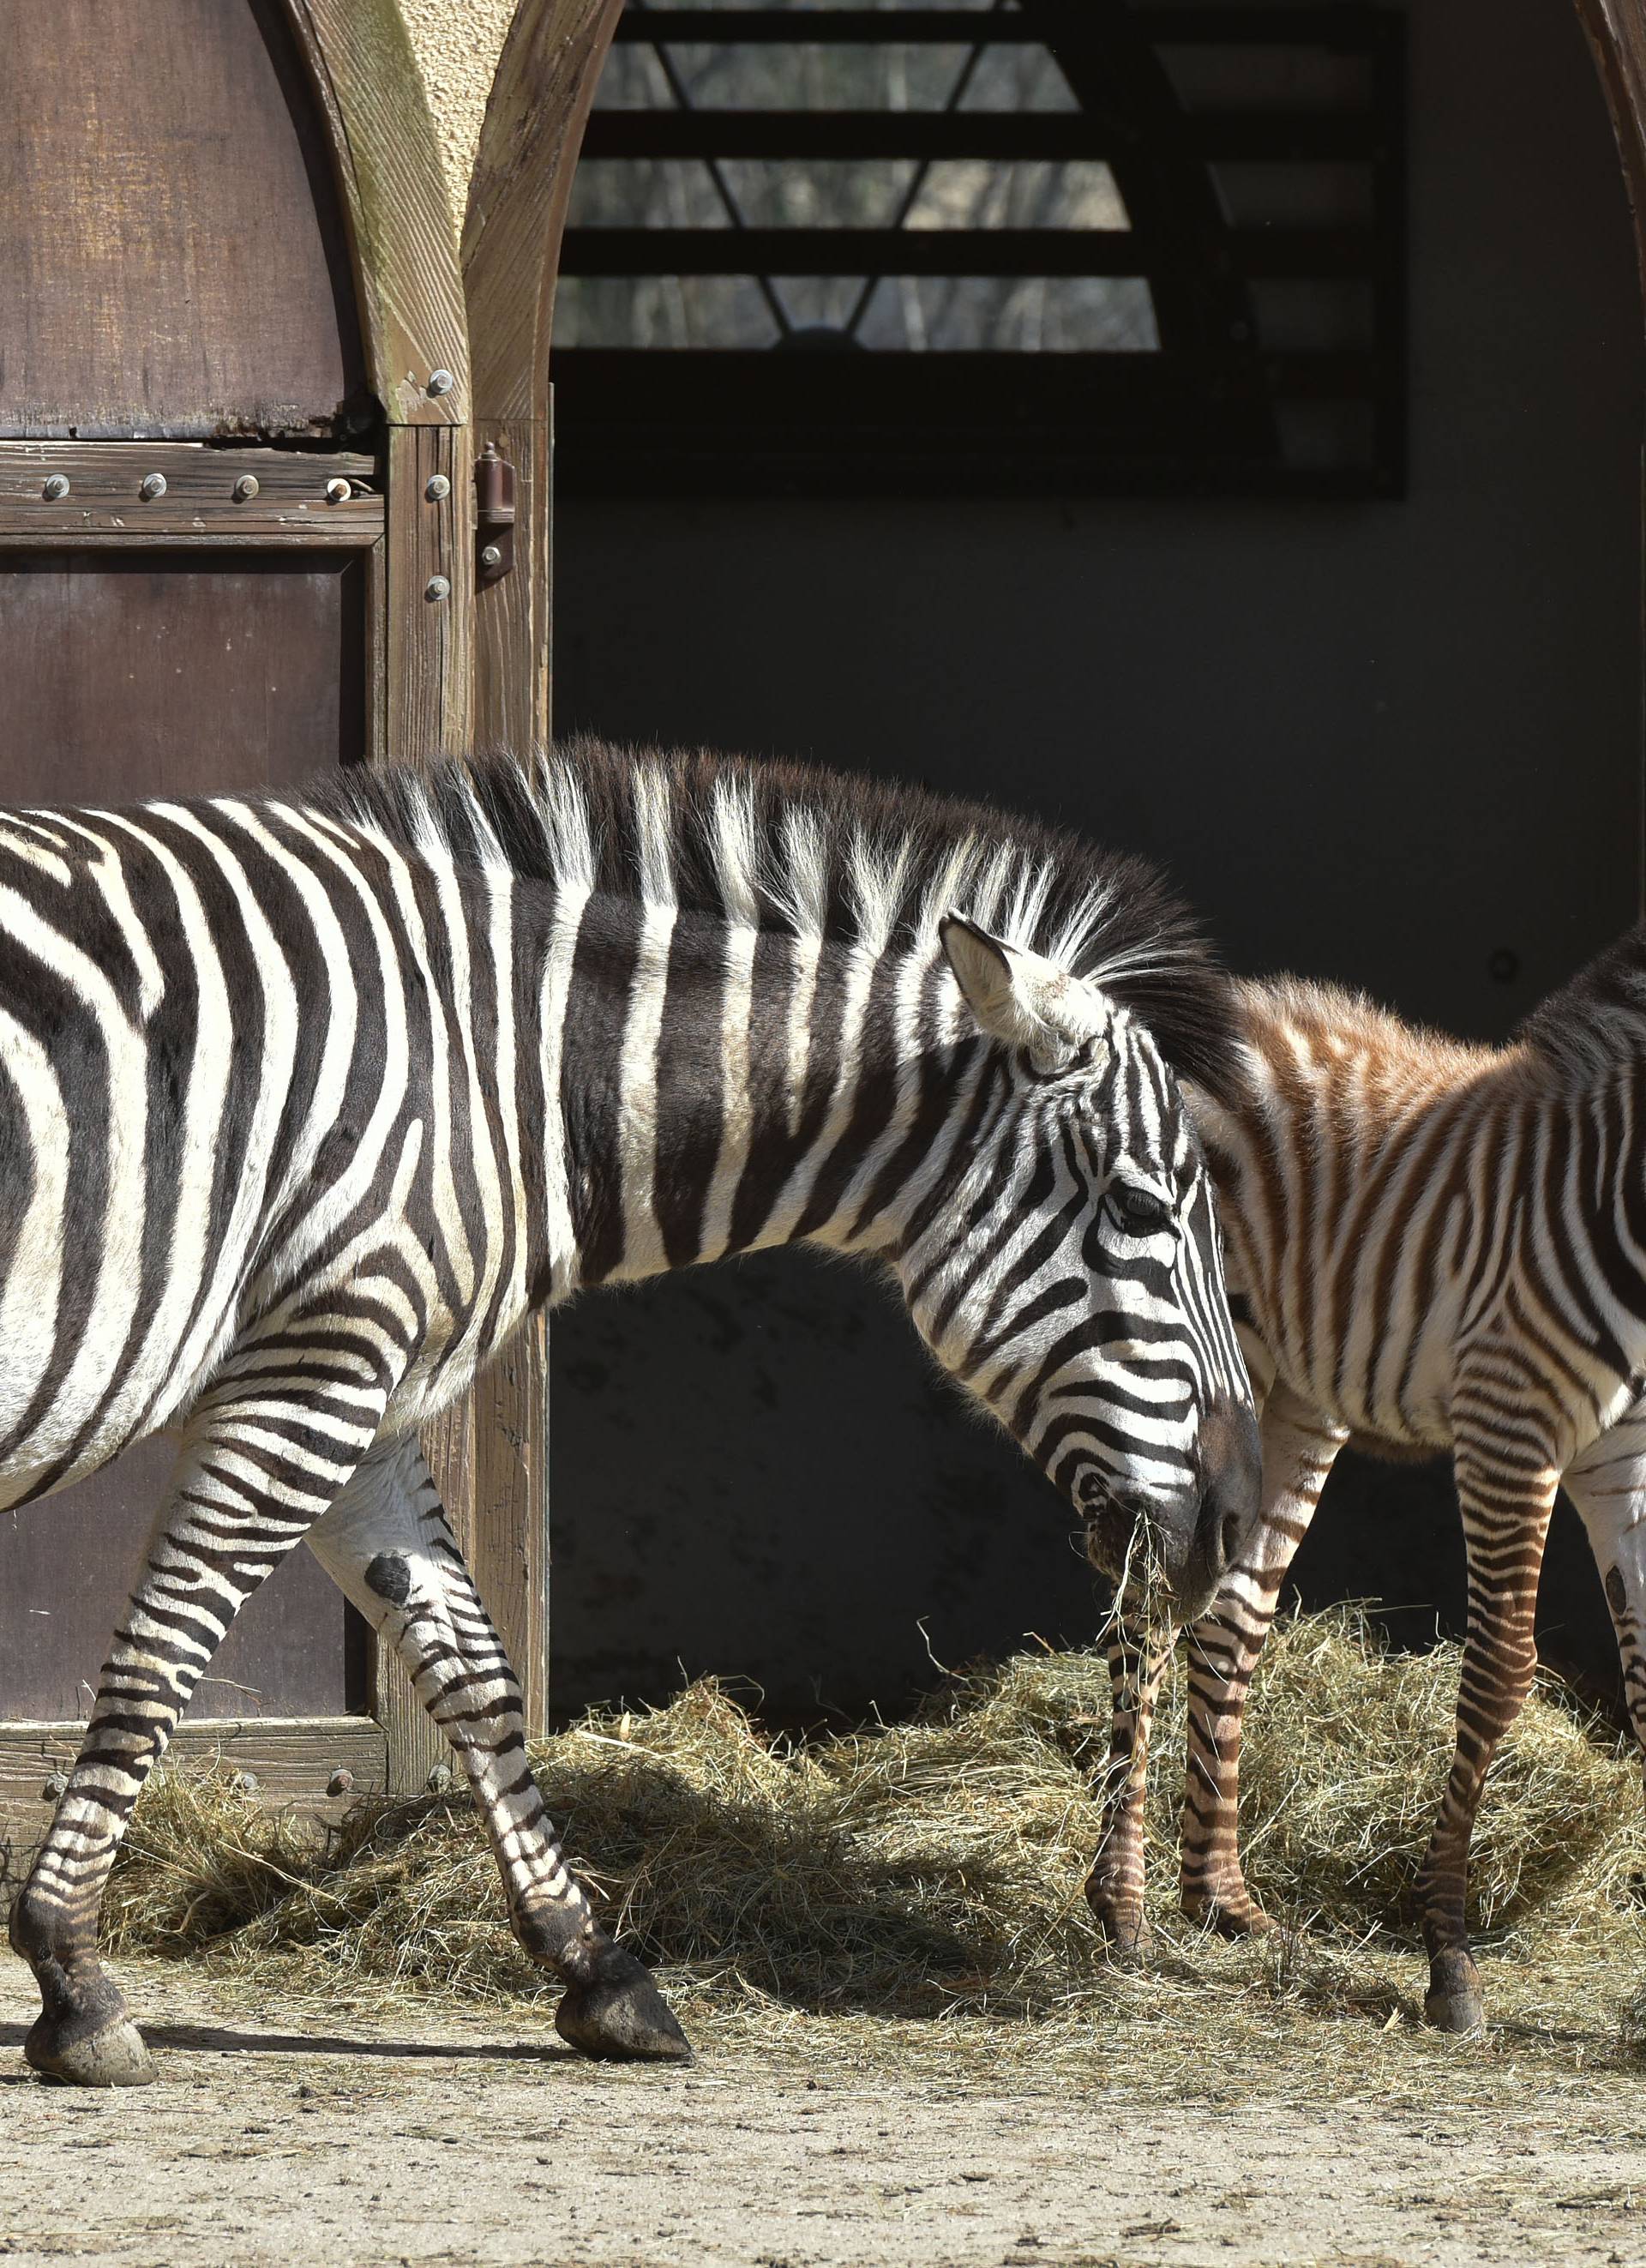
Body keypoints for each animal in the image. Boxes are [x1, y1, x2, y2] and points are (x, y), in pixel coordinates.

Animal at [3, 743, 1260, 2086]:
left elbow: (476, 1670)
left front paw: (595, 1966)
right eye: (1142, 1209)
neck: (504, 1065)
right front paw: (73, 1976)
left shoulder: (371, 1396)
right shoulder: (313, 1363)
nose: (1234, 1526)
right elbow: (162, 1650)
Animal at [1088, 929, 1646, 2031]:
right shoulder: (1510, 1423)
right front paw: (1449, 1959)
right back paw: (1122, 1906)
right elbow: (1498, 1674)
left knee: (1232, 1612)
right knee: (1149, 1604)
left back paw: (1221, 1901)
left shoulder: (1627, 1459)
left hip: (1295, 1399)